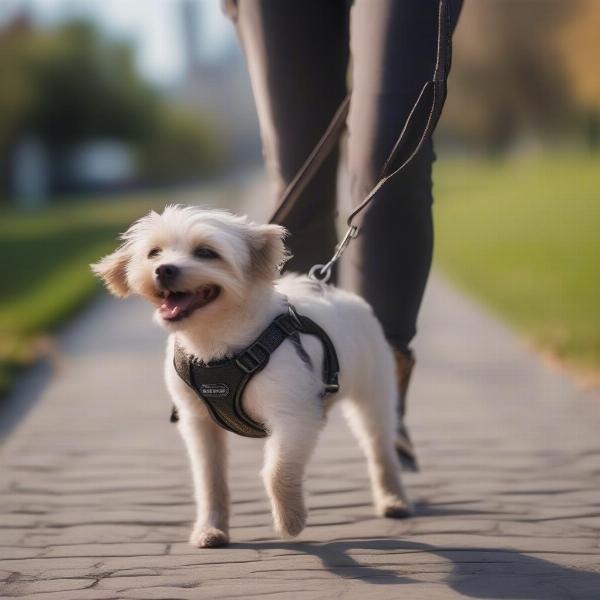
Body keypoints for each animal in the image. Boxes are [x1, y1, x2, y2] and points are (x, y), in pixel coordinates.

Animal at [91, 206, 410, 548]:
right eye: (154, 252)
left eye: (206, 252)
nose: (163, 270)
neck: (216, 348)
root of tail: (340, 294)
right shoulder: (198, 421)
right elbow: (209, 478)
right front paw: (210, 528)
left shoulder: (293, 414)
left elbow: (277, 470)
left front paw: (290, 520)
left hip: (374, 394)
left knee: (380, 448)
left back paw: (393, 499)